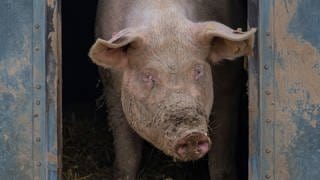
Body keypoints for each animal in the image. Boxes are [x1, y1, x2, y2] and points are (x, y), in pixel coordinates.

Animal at [89, 0, 256, 179]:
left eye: (198, 70)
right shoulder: (112, 89)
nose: (191, 135)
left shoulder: (229, 86)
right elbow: (128, 156)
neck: (164, 16)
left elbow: (221, 158)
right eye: (148, 76)